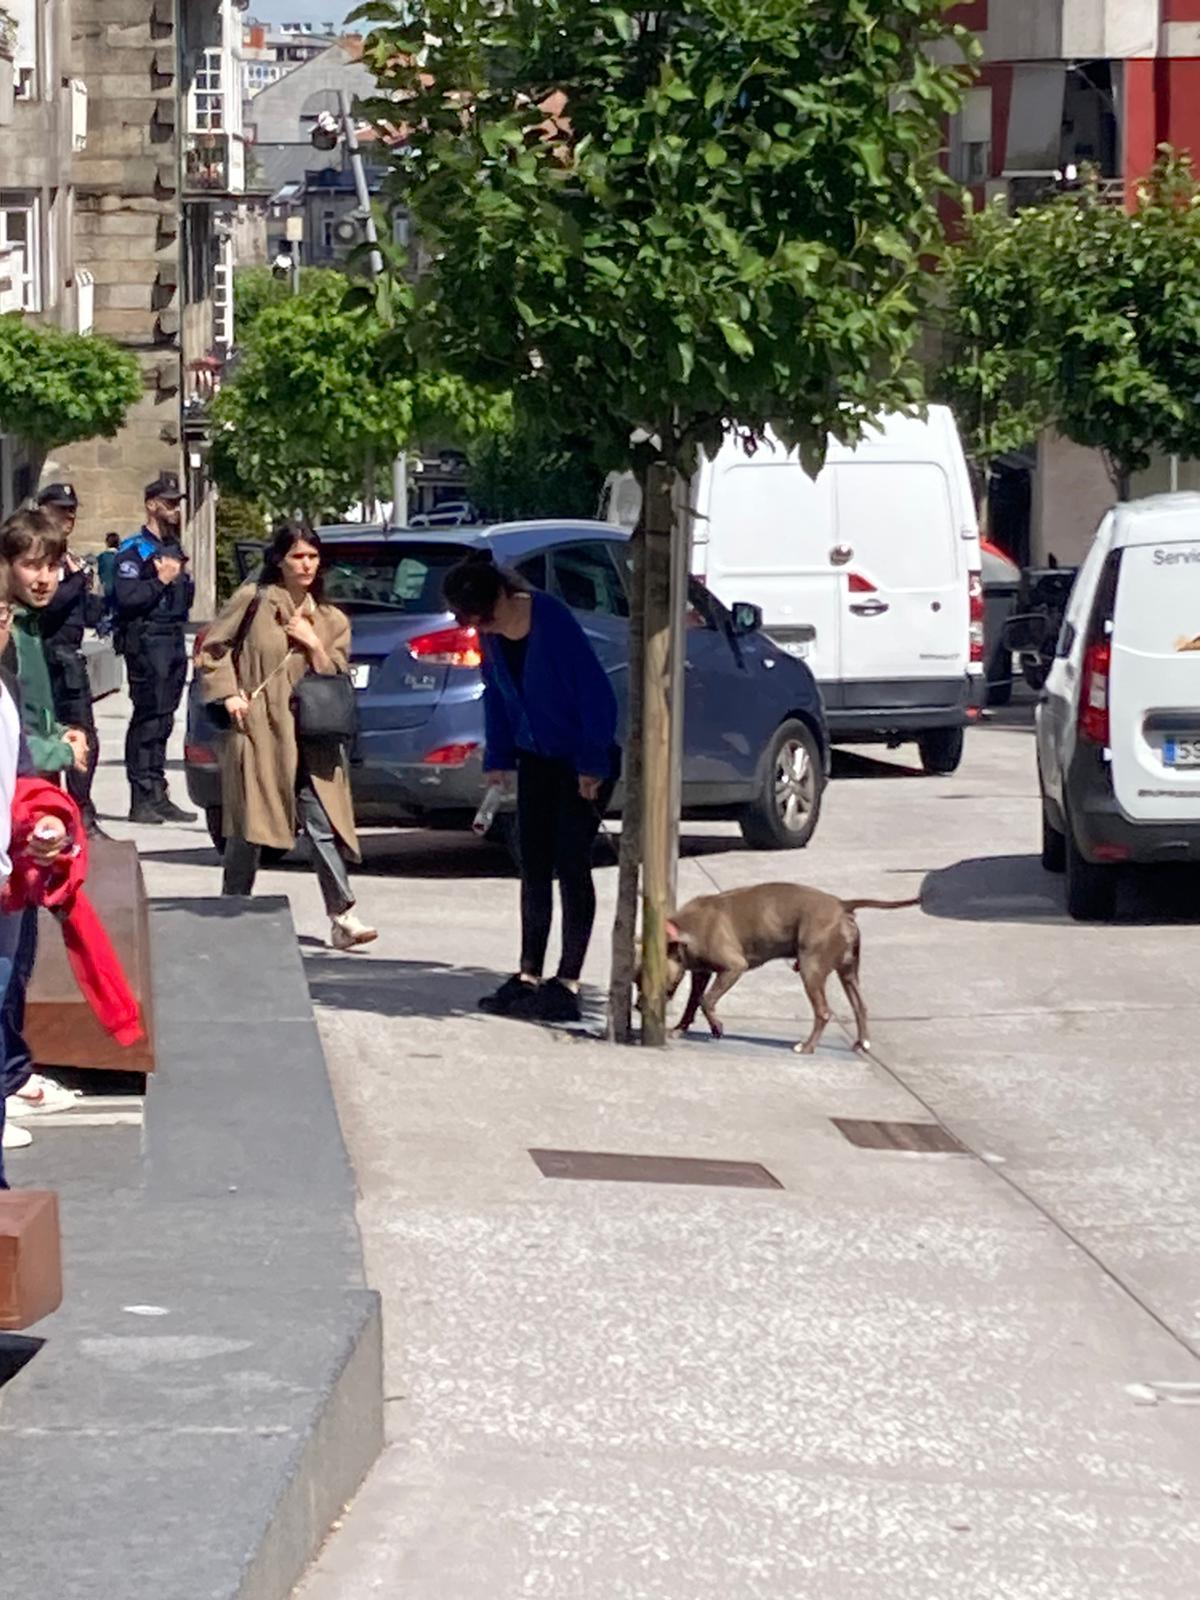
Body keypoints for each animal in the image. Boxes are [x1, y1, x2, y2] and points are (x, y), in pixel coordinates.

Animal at [668, 883, 921, 1056]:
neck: (682, 932)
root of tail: (842, 905)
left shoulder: (734, 967)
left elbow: (706, 1000)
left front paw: (717, 1027)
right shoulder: (701, 972)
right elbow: (694, 1001)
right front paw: (680, 1028)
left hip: (811, 970)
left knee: (823, 1012)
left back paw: (807, 1047)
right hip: (848, 971)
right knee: (860, 1006)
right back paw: (862, 1042)